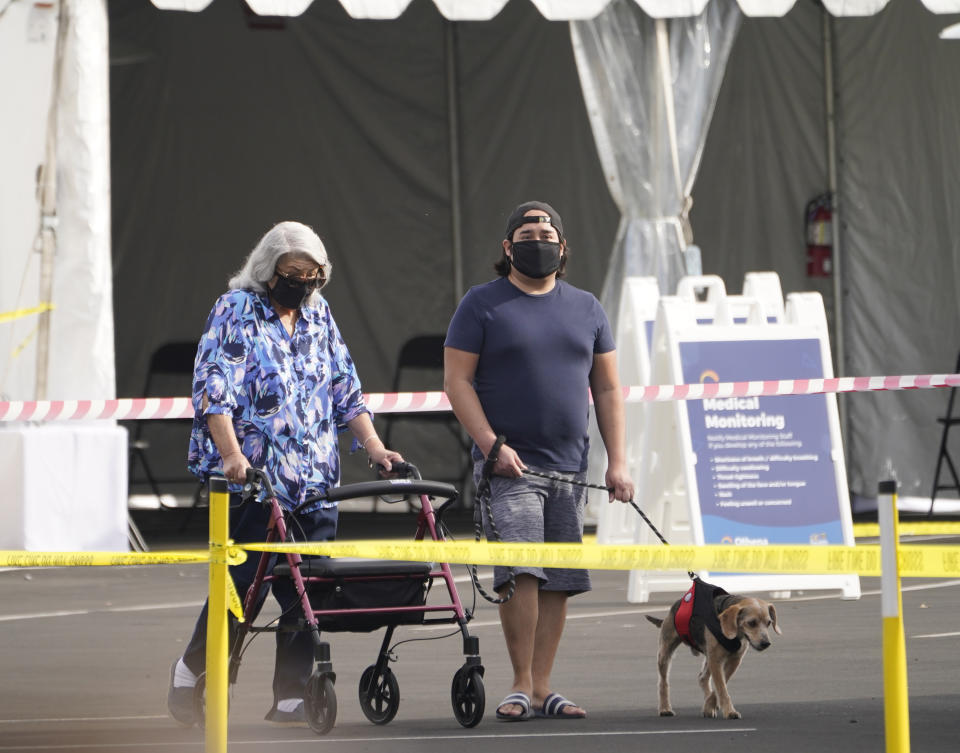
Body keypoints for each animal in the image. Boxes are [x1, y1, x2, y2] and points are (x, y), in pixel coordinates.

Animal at [644, 580, 780, 716]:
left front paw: (709, 705)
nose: (766, 643)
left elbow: (721, 685)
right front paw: (729, 711)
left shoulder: (733, 661)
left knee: (702, 678)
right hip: (665, 653)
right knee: (663, 683)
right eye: (751, 623)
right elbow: (722, 688)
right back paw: (665, 708)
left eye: (769, 623)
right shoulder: (716, 660)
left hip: (708, 656)